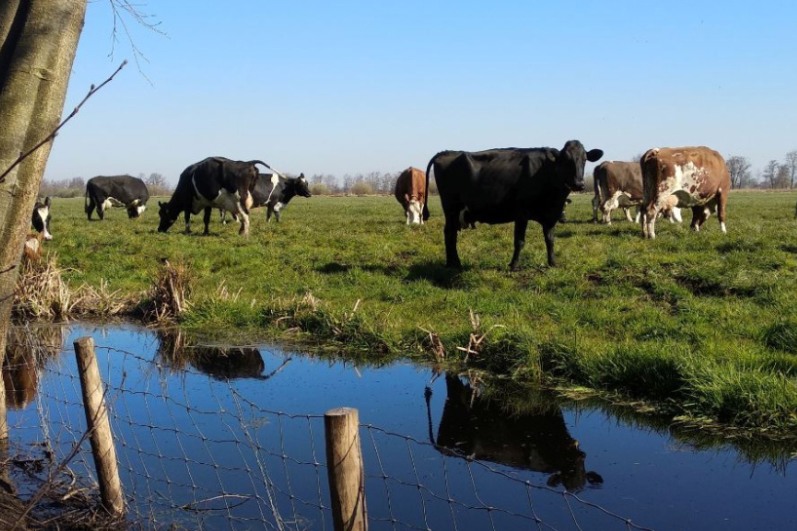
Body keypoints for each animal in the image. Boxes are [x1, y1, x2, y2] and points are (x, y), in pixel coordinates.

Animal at [422, 140, 604, 270]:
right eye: (566, 160)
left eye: (584, 160)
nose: (579, 184)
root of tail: (446, 152)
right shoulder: (522, 213)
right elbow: (520, 241)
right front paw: (514, 265)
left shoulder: (550, 215)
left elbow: (550, 239)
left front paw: (553, 263)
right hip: (451, 207)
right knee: (449, 233)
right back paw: (454, 264)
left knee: (451, 233)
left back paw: (453, 263)